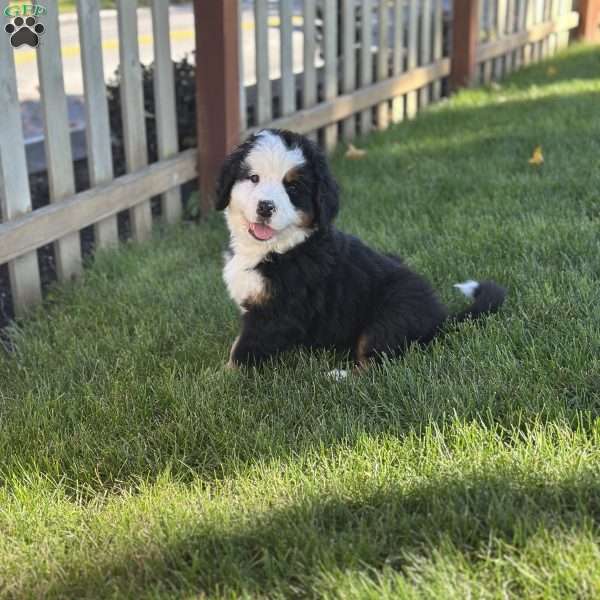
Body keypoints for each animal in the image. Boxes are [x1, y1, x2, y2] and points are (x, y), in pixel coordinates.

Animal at [217, 129, 506, 368]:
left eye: (293, 187)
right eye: (253, 178)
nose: (266, 207)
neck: (278, 249)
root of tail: (440, 315)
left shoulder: (276, 313)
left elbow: (241, 353)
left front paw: (222, 378)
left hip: (390, 316)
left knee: (376, 362)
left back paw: (339, 376)